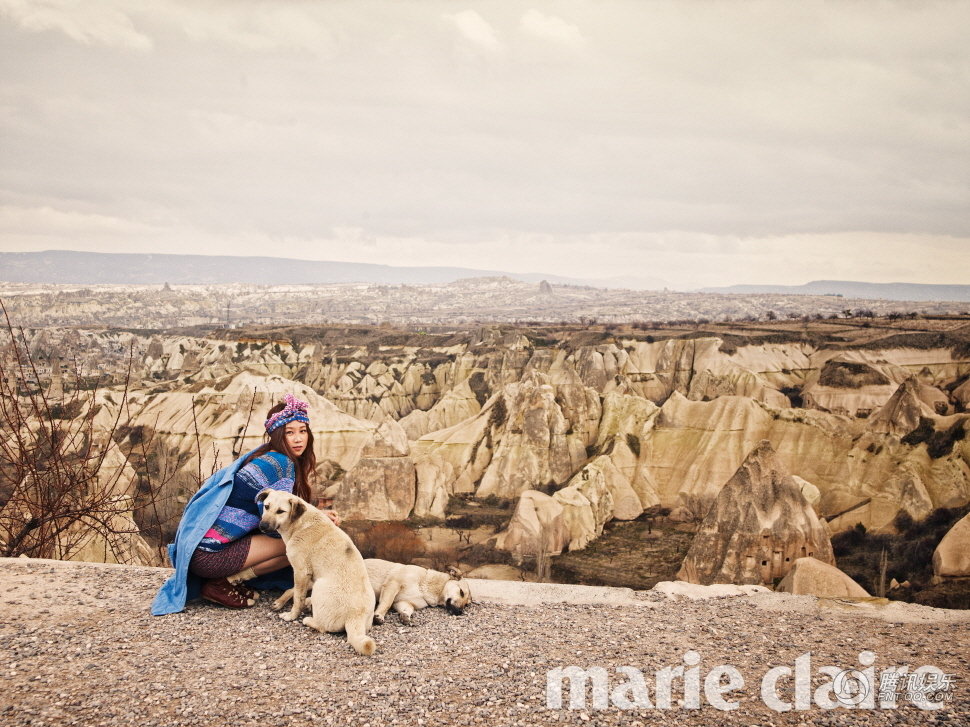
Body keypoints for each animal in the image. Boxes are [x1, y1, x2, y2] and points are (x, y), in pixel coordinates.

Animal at [255, 492, 376, 656]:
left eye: (280, 511)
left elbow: (297, 598)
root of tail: (355, 615)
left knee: (323, 627)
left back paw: (308, 618)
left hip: (320, 586)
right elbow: (292, 590)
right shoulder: (309, 574)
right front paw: (280, 602)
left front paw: (291, 615)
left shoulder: (300, 571)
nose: (262, 526)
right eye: (266, 506)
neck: (299, 523)